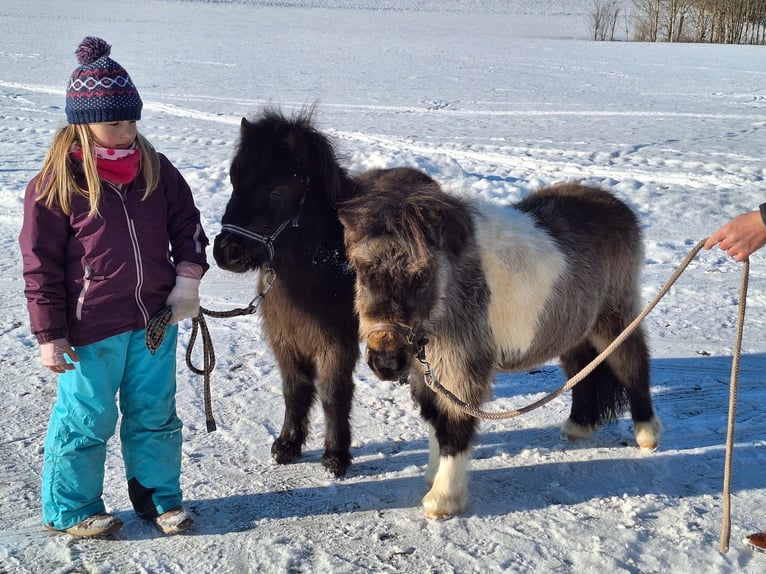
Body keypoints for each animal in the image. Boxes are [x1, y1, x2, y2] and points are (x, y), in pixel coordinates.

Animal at [212, 108, 360, 476]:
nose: (226, 252)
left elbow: (334, 394)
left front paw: (336, 455)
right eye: (234, 181)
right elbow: (295, 391)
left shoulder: (337, 345)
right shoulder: (286, 341)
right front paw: (287, 444)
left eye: (278, 191)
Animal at [336, 166, 661, 518]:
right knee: (582, 370)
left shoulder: (462, 370)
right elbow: (436, 421)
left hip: (615, 321)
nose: (385, 360)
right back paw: (578, 427)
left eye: (421, 275)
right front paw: (432, 475)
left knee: (632, 365)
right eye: (361, 269)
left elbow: (454, 429)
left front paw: (443, 499)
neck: (450, 291)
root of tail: (619, 207)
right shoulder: (429, 373)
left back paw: (647, 434)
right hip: (575, 330)